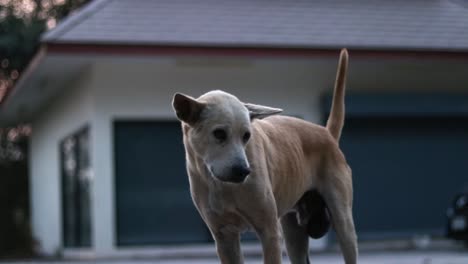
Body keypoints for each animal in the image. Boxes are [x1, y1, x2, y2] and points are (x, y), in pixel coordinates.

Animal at [172, 49, 358, 264]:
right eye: (219, 133)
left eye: (247, 135)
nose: (244, 171)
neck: (222, 185)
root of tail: (326, 134)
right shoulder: (224, 238)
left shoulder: (269, 232)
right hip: (293, 232)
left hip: (343, 222)